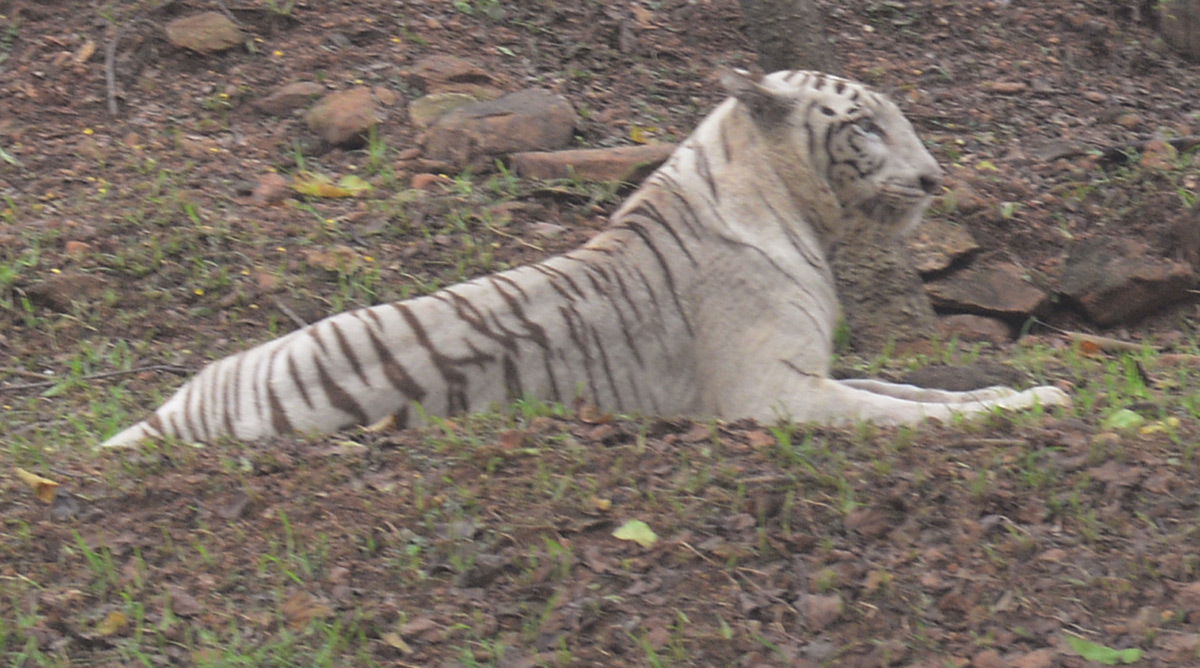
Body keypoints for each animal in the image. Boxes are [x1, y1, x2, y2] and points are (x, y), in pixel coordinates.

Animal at [96, 70, 1070, 448]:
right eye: (865, 126)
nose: (935, 177)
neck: (790, 208)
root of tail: (170, 416)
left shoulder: (815, 371)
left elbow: (912, 391)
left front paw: (1027, 391)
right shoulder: (772, 393)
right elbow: (905, 414)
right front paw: (1019, 405)